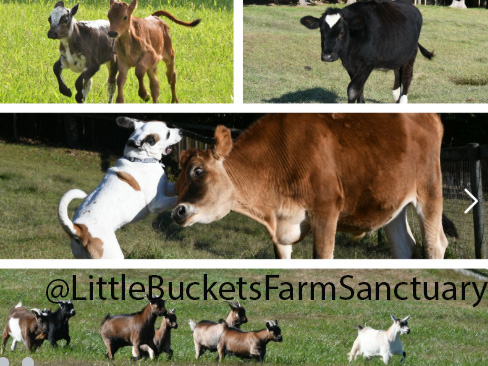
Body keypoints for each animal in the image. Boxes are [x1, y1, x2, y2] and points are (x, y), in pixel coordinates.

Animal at [57, 116, 183, 258]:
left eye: (168, 126)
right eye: (168, 134)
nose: (181, 131)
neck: (140, 159)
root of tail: (79, 229)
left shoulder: (166, 188)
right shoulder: (157, 203)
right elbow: (175, 199)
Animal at [173, 113, 454, 258]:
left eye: (198, 171)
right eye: (177, 184)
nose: (178, 211)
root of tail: (431, 116)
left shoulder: (326, 211)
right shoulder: (282, 228)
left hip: (429, 192)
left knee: (435, 244)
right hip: (393, 203)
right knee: (403, 245)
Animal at [302, 0, 434, 103]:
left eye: (342, 32)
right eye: (321, 31)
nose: (327, 56)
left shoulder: (368, 63)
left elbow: (353, 89)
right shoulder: (350, 66)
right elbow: (360, 89)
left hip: (410, 56)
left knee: (407, 78)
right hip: (398, 56)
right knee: (397, 75)